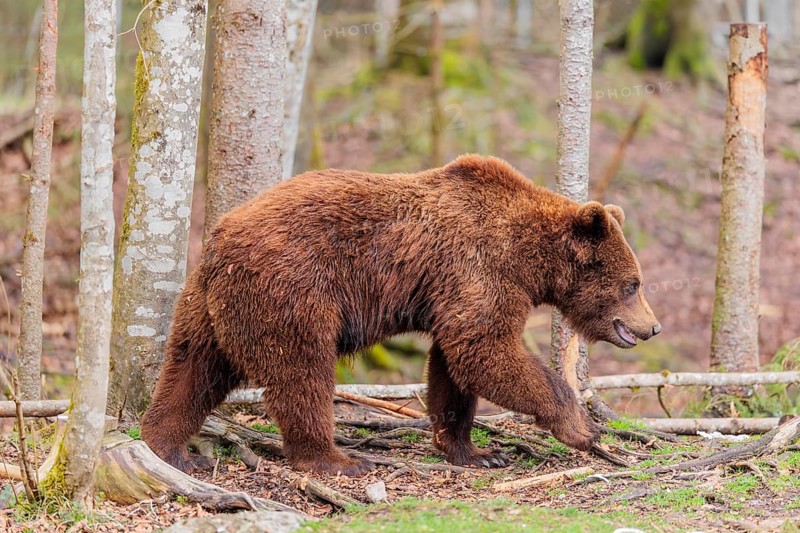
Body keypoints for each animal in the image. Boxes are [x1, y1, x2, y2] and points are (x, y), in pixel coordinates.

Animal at [141, 154, 661, 476]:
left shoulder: (453, 293)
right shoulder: (479, 269)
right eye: (632, 283)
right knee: (301, 373)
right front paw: (581, 427)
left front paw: (475, 451)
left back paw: (168, 447)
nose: (652, 326)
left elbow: (454, 369)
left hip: (207, 306)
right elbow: (486, 350)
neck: (527, 259)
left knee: (190, 370)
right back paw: (336, 459)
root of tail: (219, 239)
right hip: (292, 290)